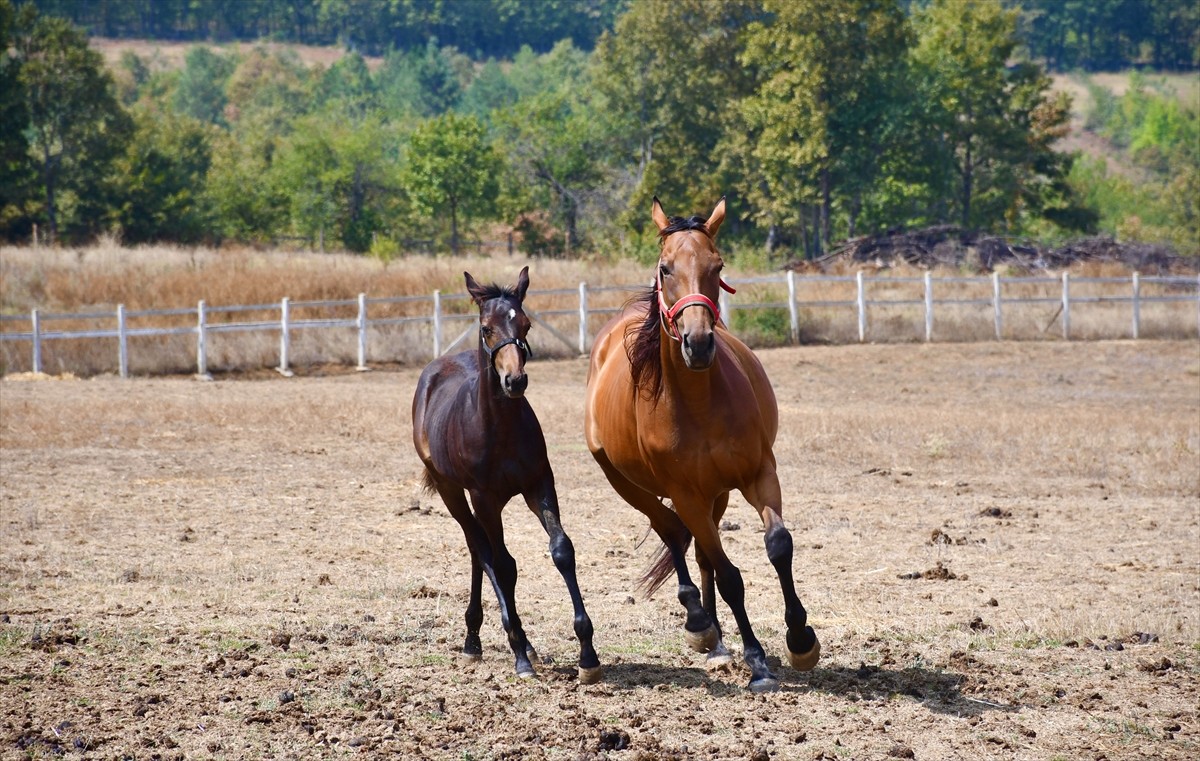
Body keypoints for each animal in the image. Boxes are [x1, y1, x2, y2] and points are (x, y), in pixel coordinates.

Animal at [412, 266, 600, 681]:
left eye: (525, 324)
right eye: (486, 328)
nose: (515, 381)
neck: (500, 428)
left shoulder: (540, 485)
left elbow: (561, 550)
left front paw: (587, 652)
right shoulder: (485, 499)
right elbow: (501, 563)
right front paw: (519, 654)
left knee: (476, 550)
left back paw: (483, 639)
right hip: (451, 490)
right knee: (480, 549)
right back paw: (487, 641)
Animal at [583, 198, 820, 691]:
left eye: (718, 265)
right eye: (665, 267)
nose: (697, 342)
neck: (697, 402)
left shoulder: (757, 474)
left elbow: (778, 544)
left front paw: (801, 638)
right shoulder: (686, 494)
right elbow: (730, 576)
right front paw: (758, 662)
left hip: (719, 492)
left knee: (699, 550)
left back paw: (716, 639)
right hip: (626, 482)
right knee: (674, 533)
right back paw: (699, 622)